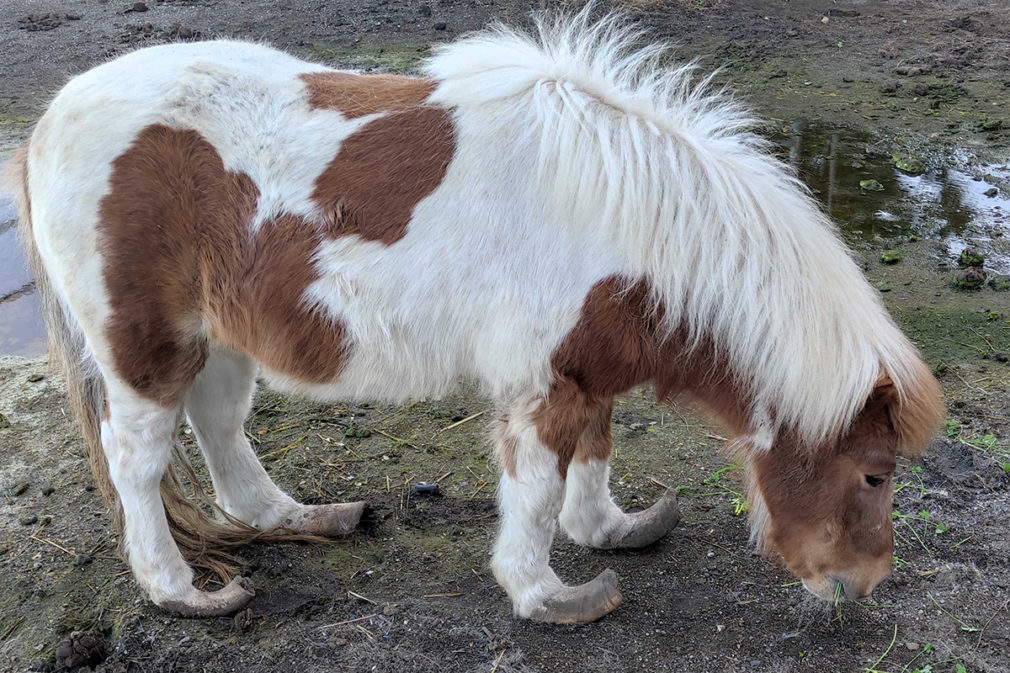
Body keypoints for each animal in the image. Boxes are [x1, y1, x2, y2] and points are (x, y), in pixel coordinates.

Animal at [3, 10, 941, 622]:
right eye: (874, 475)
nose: (863, 585)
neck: (622, 220)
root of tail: (48, 124)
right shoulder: (540, 385)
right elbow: (535, 492)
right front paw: (546, 594)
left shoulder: (587, 369)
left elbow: (596, 454)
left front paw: (609, 530)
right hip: (143, 345)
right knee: (137, 461)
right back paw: (181, 591)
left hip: (218, 335)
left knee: (222, 431)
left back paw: (301, 519)